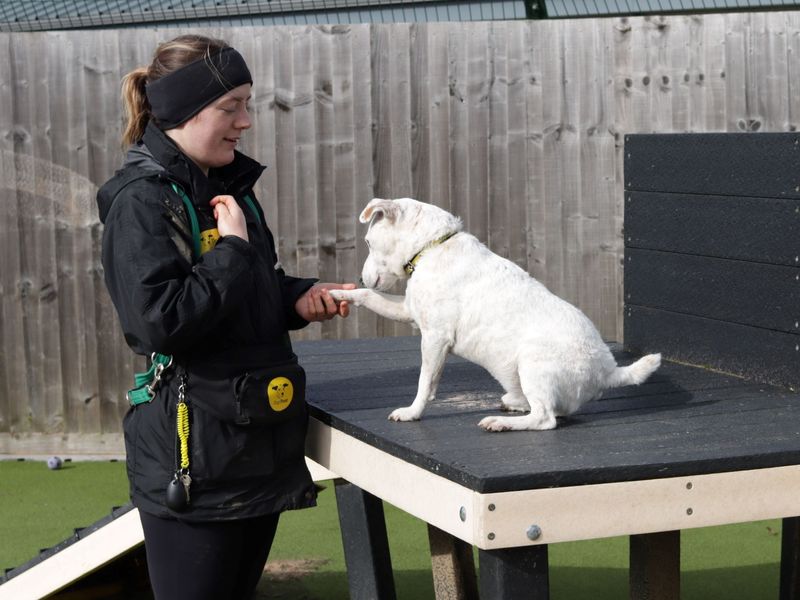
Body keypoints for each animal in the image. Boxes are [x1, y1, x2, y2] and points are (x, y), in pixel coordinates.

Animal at [328, 200, 660, 432]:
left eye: (368, 242)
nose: (359, 278)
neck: (432, 247)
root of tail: (608, 368)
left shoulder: (435, 338)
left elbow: (425, 383)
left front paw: (412, 413)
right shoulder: (408, 311)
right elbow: (369, 297)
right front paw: (336, 295)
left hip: (532, 361)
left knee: (545, 418)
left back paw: (501, 423)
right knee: (552, 409)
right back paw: (514, 404)